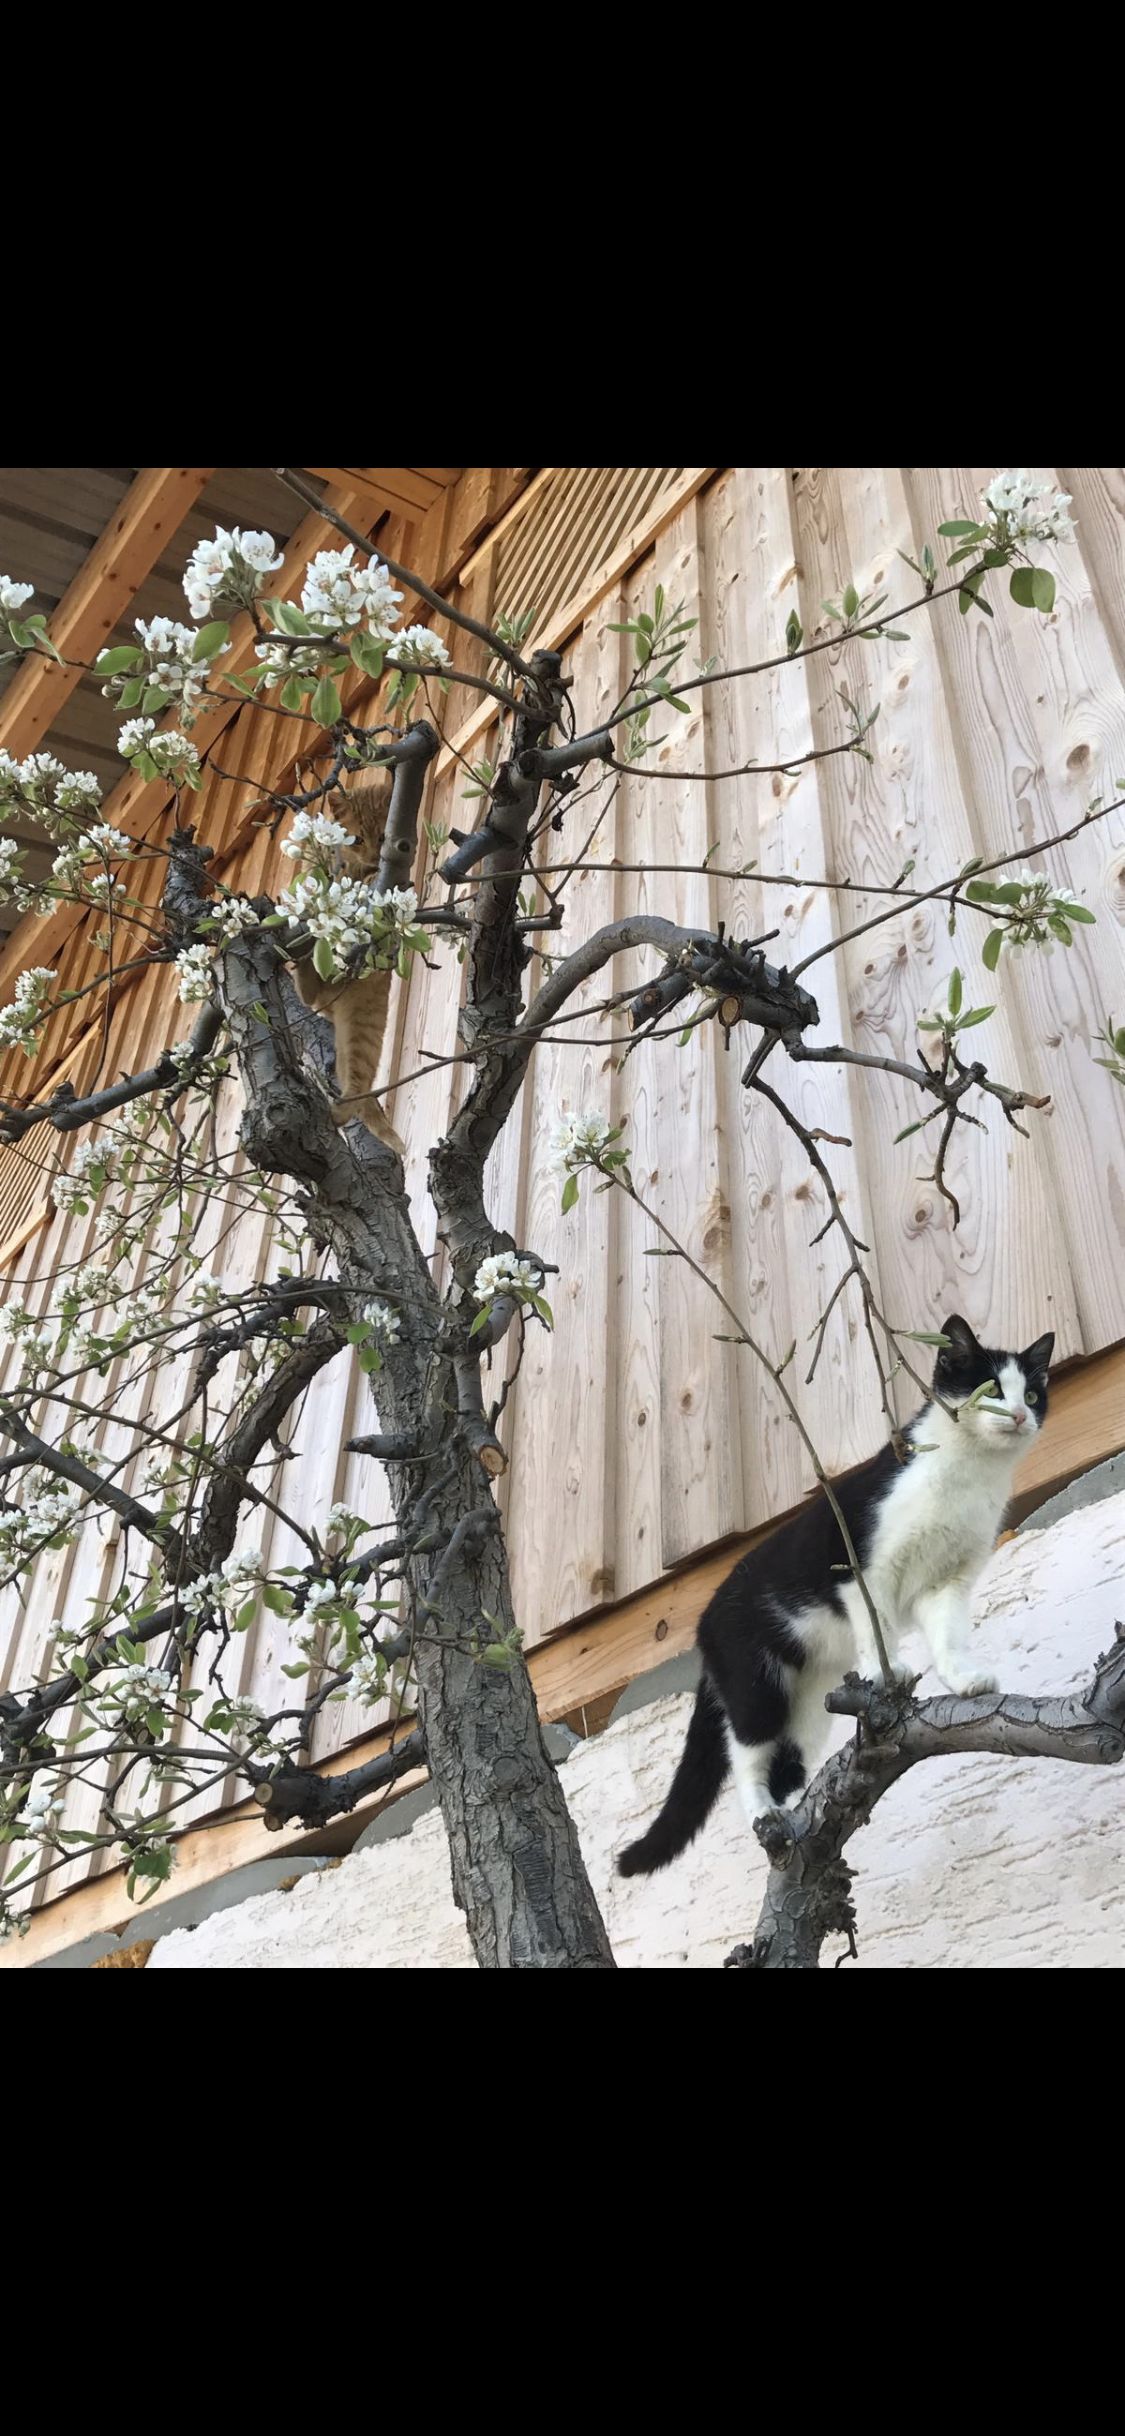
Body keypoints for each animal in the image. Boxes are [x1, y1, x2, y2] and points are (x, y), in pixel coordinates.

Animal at [289, 771, 406, 1157]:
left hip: (362, 1034)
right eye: (356, 839)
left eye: (384, 837)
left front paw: (366, 880)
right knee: (310, 993)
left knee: (358, 1085)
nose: (372, 859)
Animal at [617, 1313, 1054, 1878]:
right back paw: (764, 1813)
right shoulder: (862, 1571)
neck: (968, 1476)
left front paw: (962, 1679)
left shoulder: (947, 1582)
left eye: (1034, 1393)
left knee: (788, 1761)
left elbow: (949, 1636)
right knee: (746, 1753)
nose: (1021, 1414)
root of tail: (706, 1623)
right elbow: (876, 1626)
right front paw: (885, 1674)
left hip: (808, 1705)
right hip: (755, 1682)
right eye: (993, 1390)